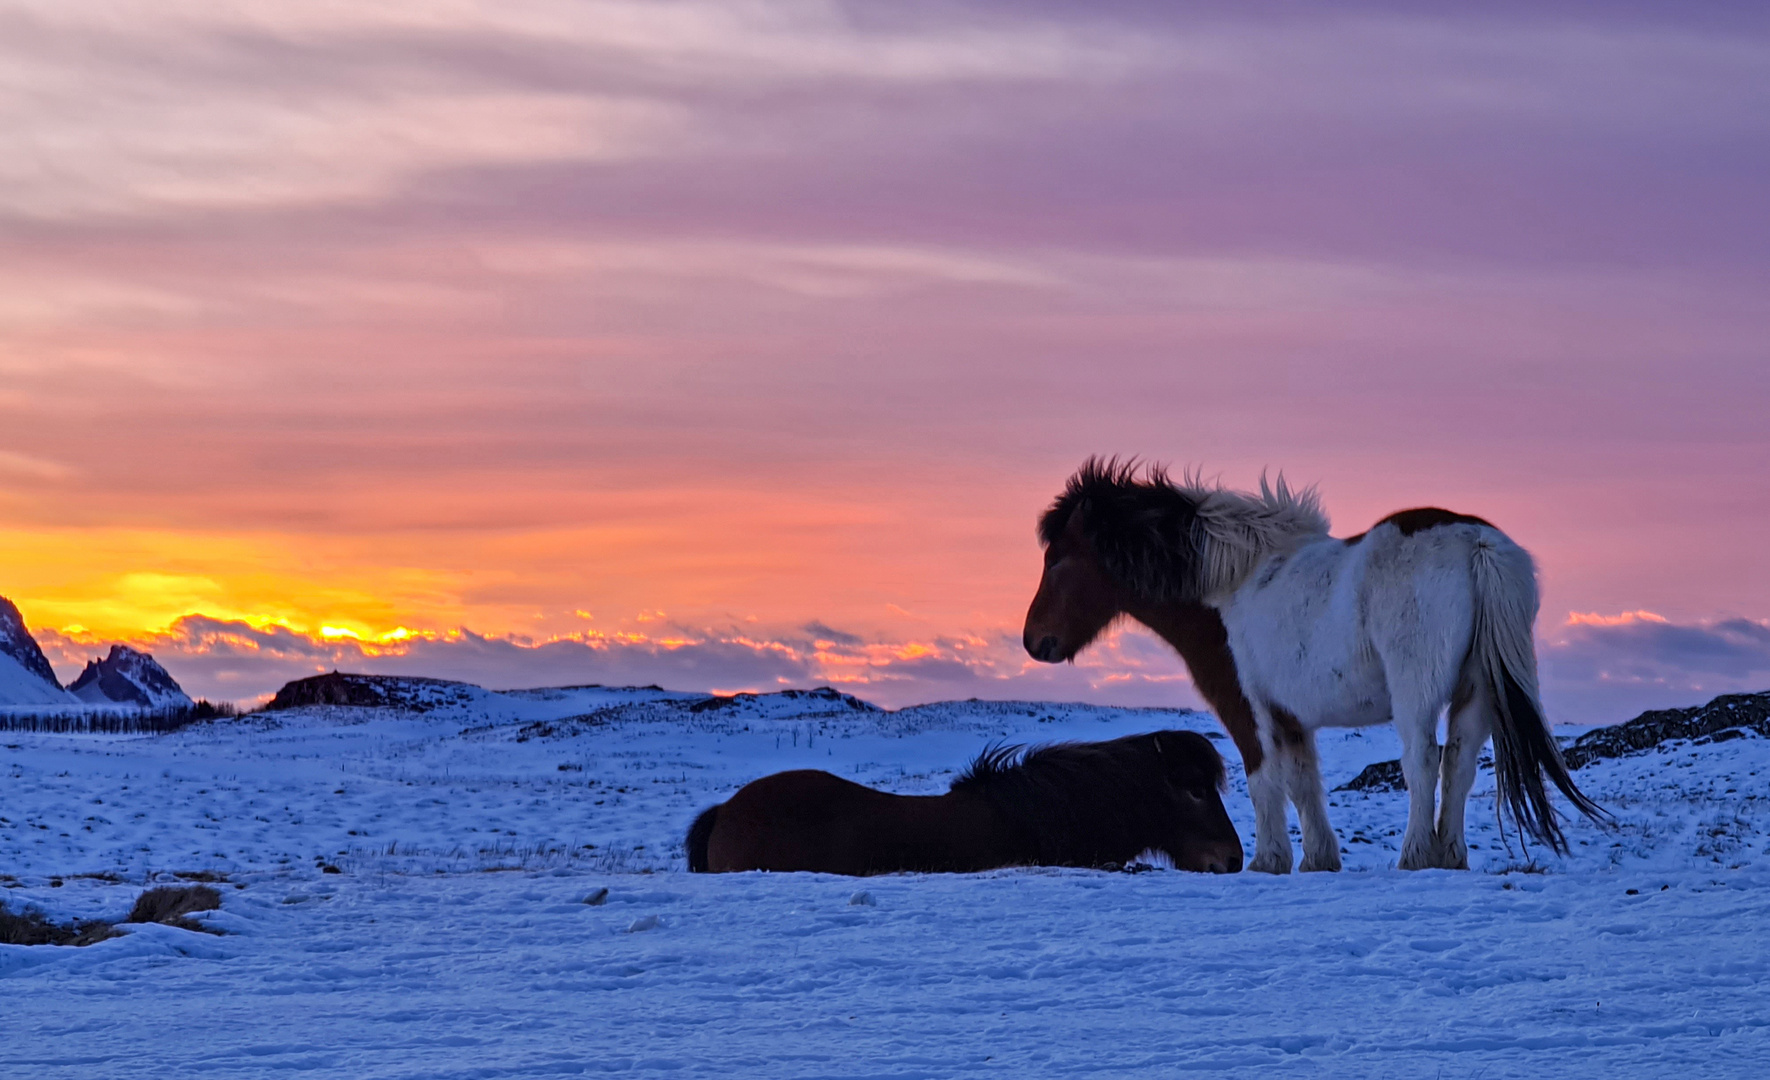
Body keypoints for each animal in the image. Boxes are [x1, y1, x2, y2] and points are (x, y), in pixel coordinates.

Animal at [1026, 456, 1607, 871]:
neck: (1229, 585)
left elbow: (1264, 779)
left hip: (1416, 692)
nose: (1035, 641)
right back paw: (1450, 855)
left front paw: (1268, 861)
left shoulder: (1246, 708)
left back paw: (1415, 856)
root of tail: (1477, 541)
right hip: (1478, 690)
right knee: (1460, 762)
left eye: (1057, 559)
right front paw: (1319, 860)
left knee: (1423, 759)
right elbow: (1305, 782)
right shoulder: (1292, 718)